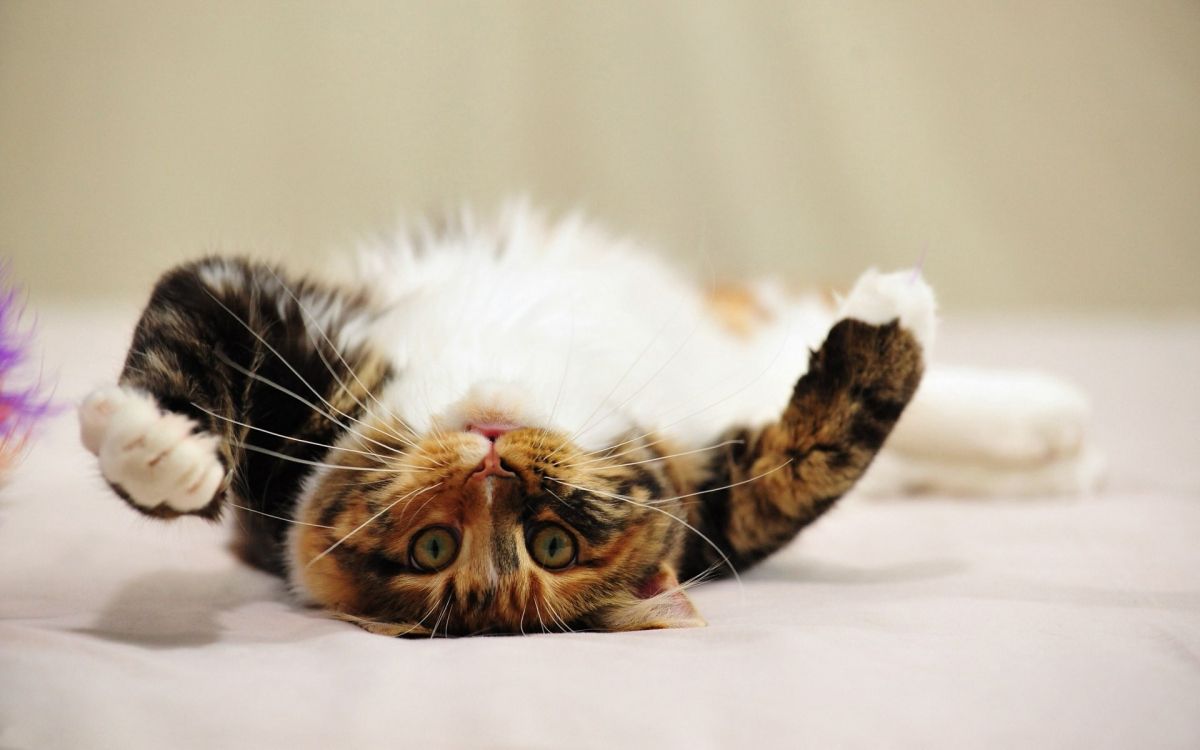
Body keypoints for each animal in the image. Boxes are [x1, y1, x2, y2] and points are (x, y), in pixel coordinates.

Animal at [72, 206, 1089, 638]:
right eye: (435, 550)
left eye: (552, 545)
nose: (492, 463)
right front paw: (161, 456)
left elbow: (812, 457)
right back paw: (1058, 441)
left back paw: (1058, 429)